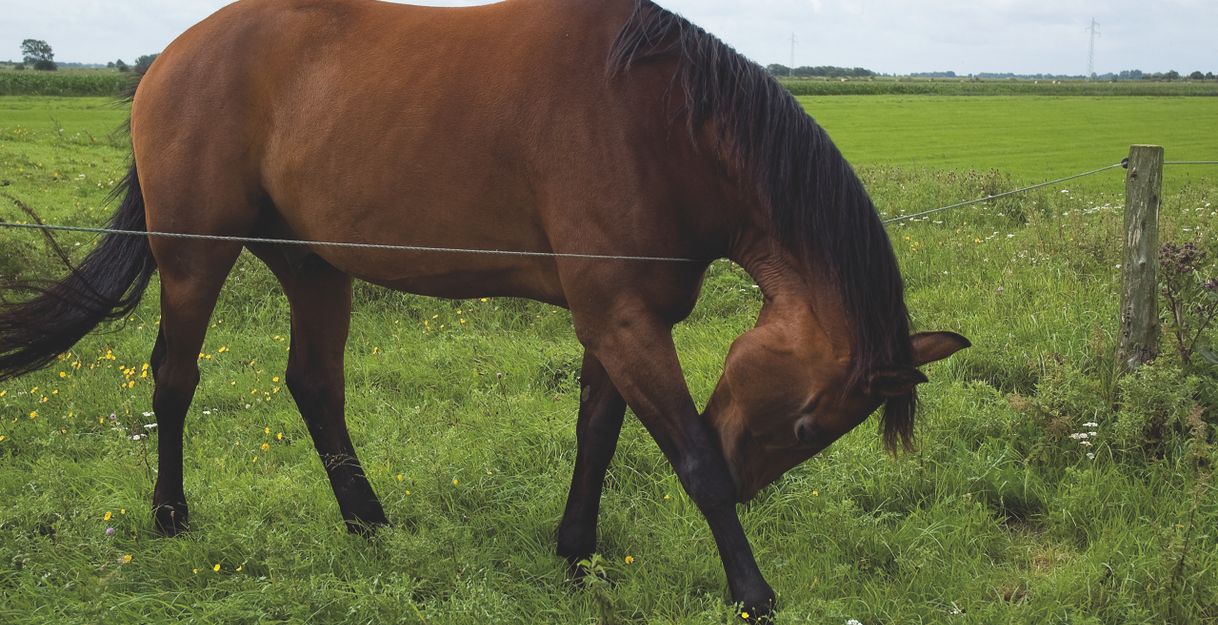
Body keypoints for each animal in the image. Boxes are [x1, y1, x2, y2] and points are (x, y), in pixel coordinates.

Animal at [0, 0, 969, 618]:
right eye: (806, 425)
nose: (753, 482)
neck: (660, 123)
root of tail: (170, 57)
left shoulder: (616, 316)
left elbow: (597, 433)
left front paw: (576, 553)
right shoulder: (622, 319)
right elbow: (691, 455)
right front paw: (753, 591)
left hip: (314, 267)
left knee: (314, 385)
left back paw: (367, 521)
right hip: (194, 258)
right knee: (174, 377)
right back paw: (171, 516)